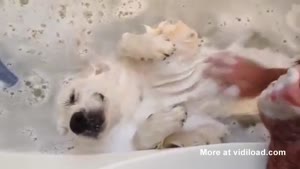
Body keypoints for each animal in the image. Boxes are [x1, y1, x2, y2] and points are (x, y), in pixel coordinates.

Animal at [55, 20, 294, 154]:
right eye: (65, 130)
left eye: (71, 97)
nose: (75, 123)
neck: (137, 99)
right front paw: (164, 122)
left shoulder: (177, 59)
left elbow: (125, 41)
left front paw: (153, 46)